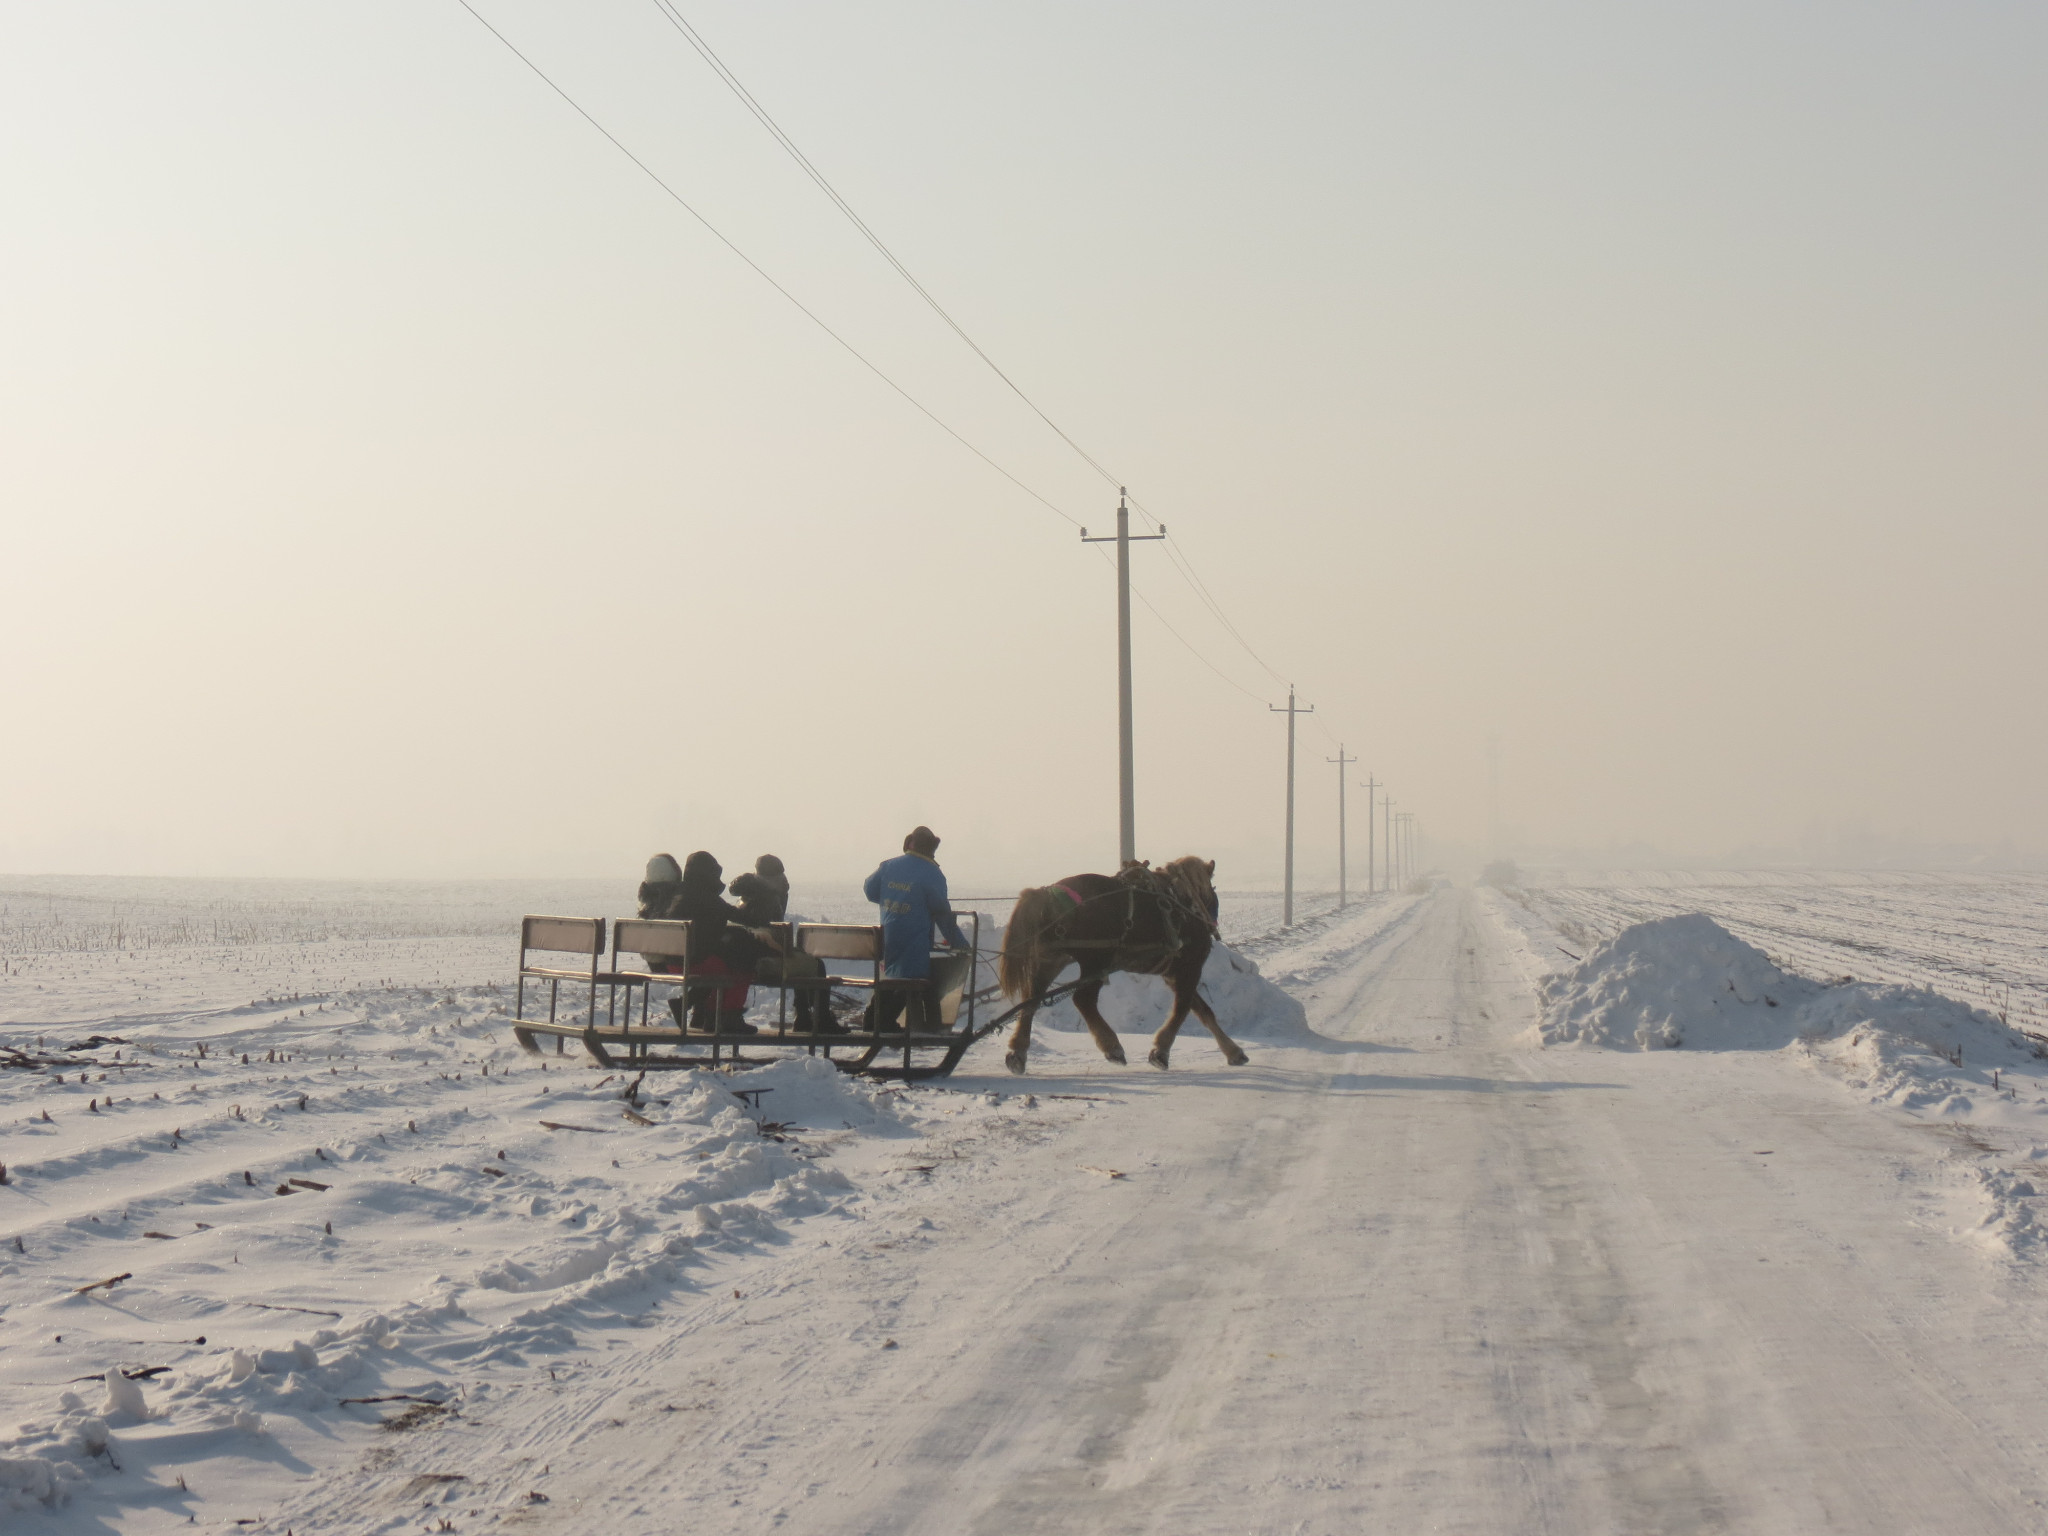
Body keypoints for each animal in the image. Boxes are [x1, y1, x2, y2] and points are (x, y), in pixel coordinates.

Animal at [995, 856, 1245, 1081]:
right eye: (1212, 895)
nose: (1213, 925)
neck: (1184, 902)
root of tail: (1047, 895)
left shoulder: (1173, 974)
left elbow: (1202, 1010)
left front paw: (1233, 1051)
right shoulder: (1190, 966)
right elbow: (1183, 1009)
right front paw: (1160, 1052)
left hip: (1052, 959)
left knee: (1032, 999)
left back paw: (1017, 1052)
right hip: (1096, 959)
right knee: (1082, 1000)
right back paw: (1112, 1046)